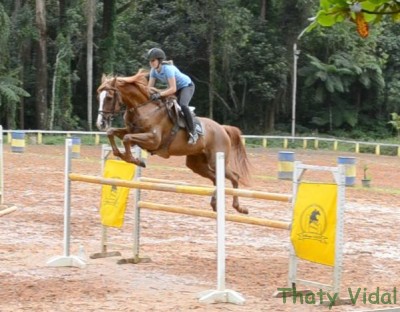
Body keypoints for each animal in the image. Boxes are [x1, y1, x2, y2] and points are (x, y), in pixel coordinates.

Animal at [95, 69, 252, 213]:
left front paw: (135, 160)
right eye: (99, 97)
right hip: (196, 164)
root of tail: (222, 128)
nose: (100, 123)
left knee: (234, 177)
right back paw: (215, 204)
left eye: (109, 97)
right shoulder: (131, 131)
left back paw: (239, 208)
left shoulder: (153, 140)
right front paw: (122, 155)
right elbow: (112, 133)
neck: (144, 109)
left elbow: (127, 139)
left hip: (216, 160)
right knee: (215, 178)